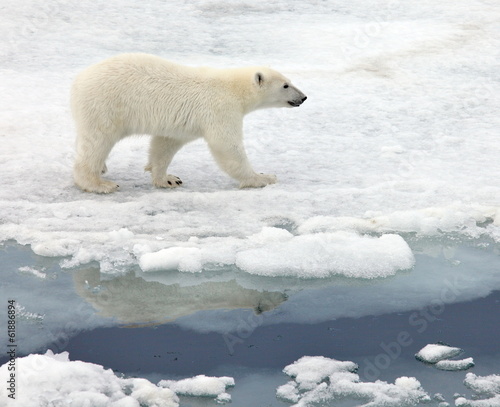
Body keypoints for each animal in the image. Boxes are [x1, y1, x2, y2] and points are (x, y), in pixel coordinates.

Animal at [70, 53, 304, 194]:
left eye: (290, 81)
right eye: (285, 85)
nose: (303, 97)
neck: (233, 88)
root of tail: (79, 80)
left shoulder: (179, 124)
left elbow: (165, 145)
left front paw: (168, 179)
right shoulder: (220, 109)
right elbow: (228, 147)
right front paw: (263, 177)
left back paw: (102, 168)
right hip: (106, 106)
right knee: (97, 142)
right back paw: (99, 183)